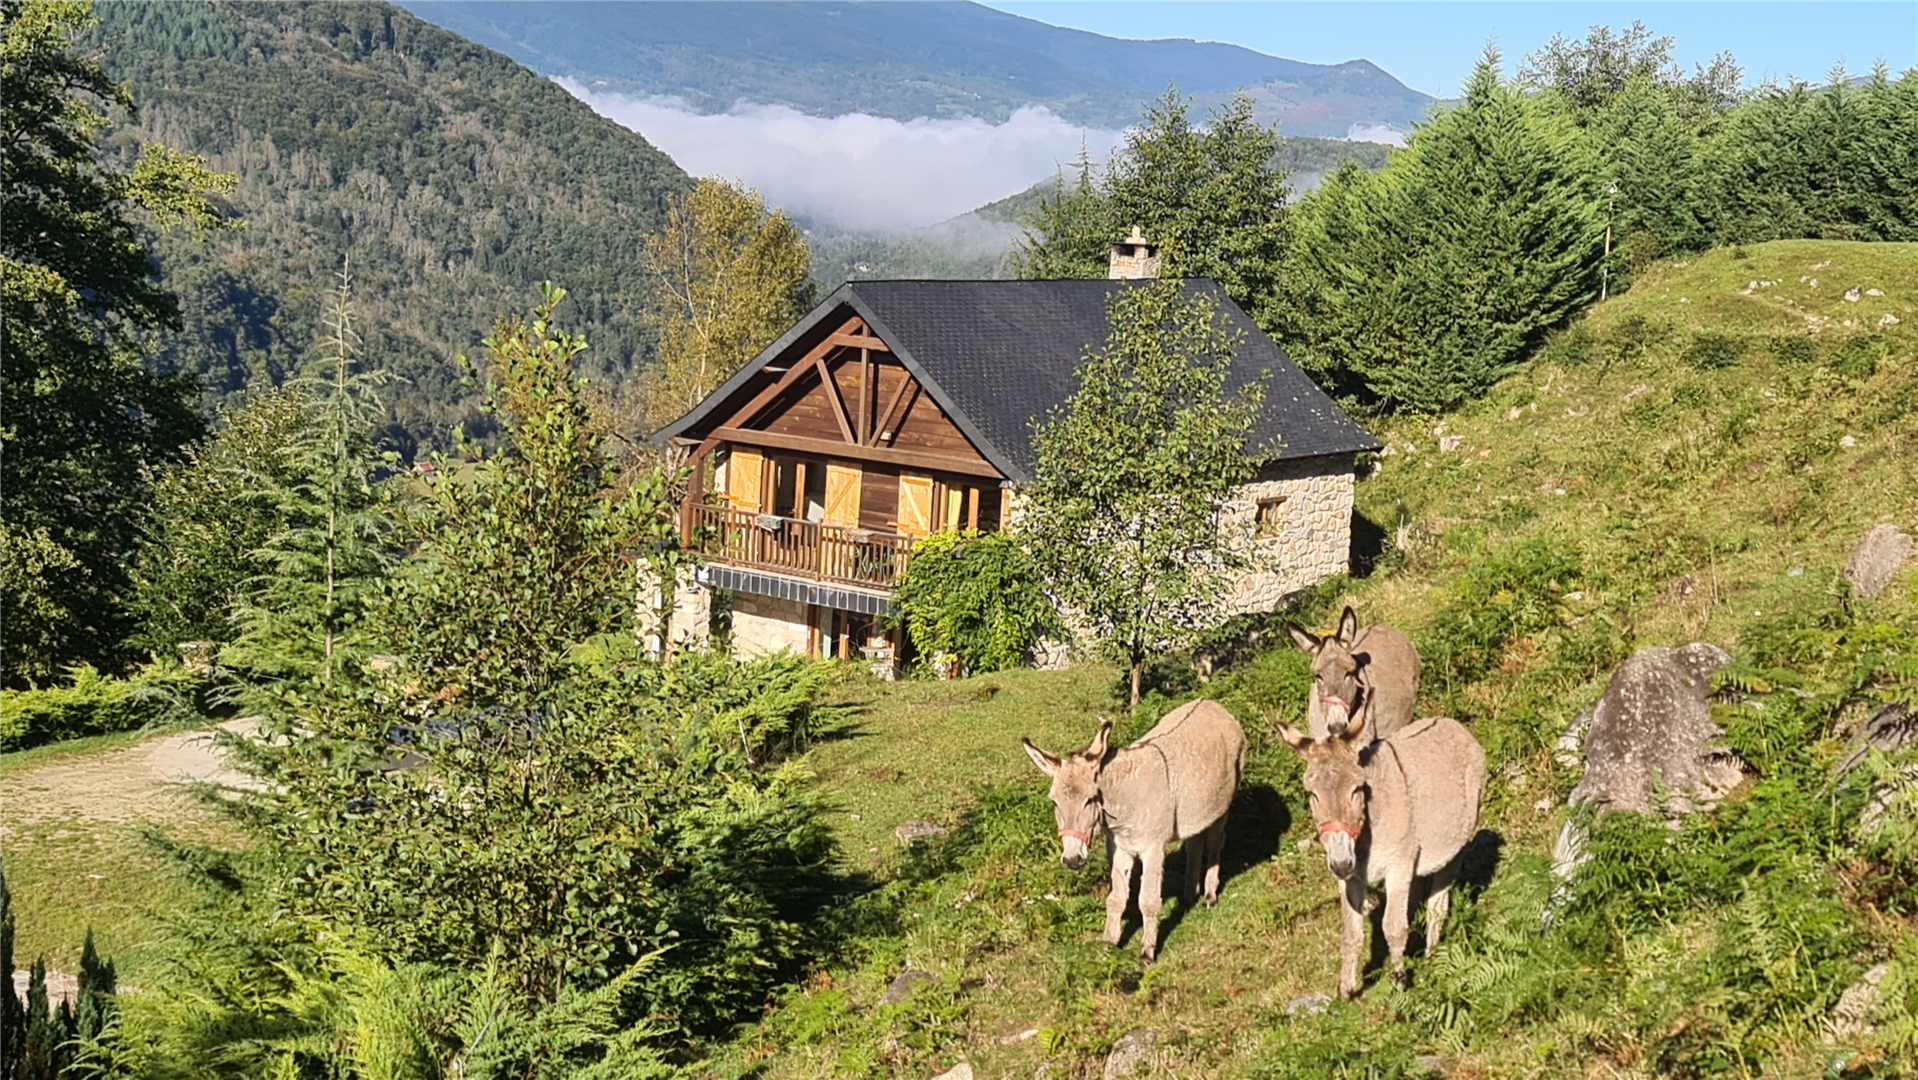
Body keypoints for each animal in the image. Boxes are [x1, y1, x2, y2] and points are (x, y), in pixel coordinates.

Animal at [1023, 699, 1247, 961]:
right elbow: (1116, 899)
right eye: (1054, 802)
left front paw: (1147, 952)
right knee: (1194, 845)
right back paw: (1189, 895)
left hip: (1222, 805)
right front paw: (1108, 944)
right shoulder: (1120, 847)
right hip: (1195, 811)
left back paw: (1210, 895)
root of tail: (1212, 704)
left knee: (1214, 843)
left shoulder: (1153, 849)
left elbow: (1148, 901)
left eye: (1090, 800)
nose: (1072, 860)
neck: (1124, 799)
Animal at [1277, 700, 1487, 997]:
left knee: (1437, 905)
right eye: (1312, 794)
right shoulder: (1351, 878)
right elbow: (1351, 933)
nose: (1341, 863)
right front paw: (1345, 991)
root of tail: (1453, 724)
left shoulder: (1397, 866)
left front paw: (1399, 984)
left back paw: (1431, 957)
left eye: (1357, 789)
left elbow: (1394, 928)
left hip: (1455, 847)